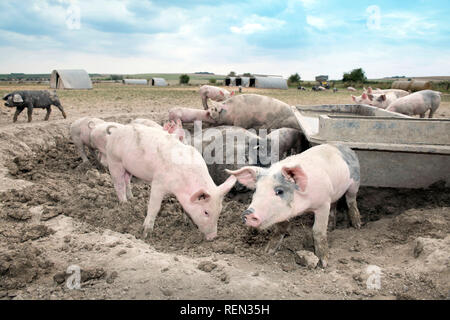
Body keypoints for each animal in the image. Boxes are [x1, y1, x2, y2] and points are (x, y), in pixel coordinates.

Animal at [104, 122, 236, 240]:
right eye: (206, 212)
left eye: (219, 211)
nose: (213, 237)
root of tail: (116, 130)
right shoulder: (158, 182)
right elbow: (154, 207)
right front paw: (146, 233)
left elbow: (184, 208)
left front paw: (186, 223)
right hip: (114, 160)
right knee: (119, 184)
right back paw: (124, 204)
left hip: (128, 168)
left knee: (127, 180)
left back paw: (132, 199)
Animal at [229, 143, 362, 268]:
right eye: (256, 189)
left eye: (279, 191)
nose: (248, 213)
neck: (304, 207)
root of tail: (345, 147)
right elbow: (280, 229)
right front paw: (268, 251)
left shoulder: (323, 204)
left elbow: (318, 231)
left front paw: (323, 263)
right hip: (334, 193)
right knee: (334, 205)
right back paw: (331, 228)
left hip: (355, 183)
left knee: (351, 201)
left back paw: (357, 225)